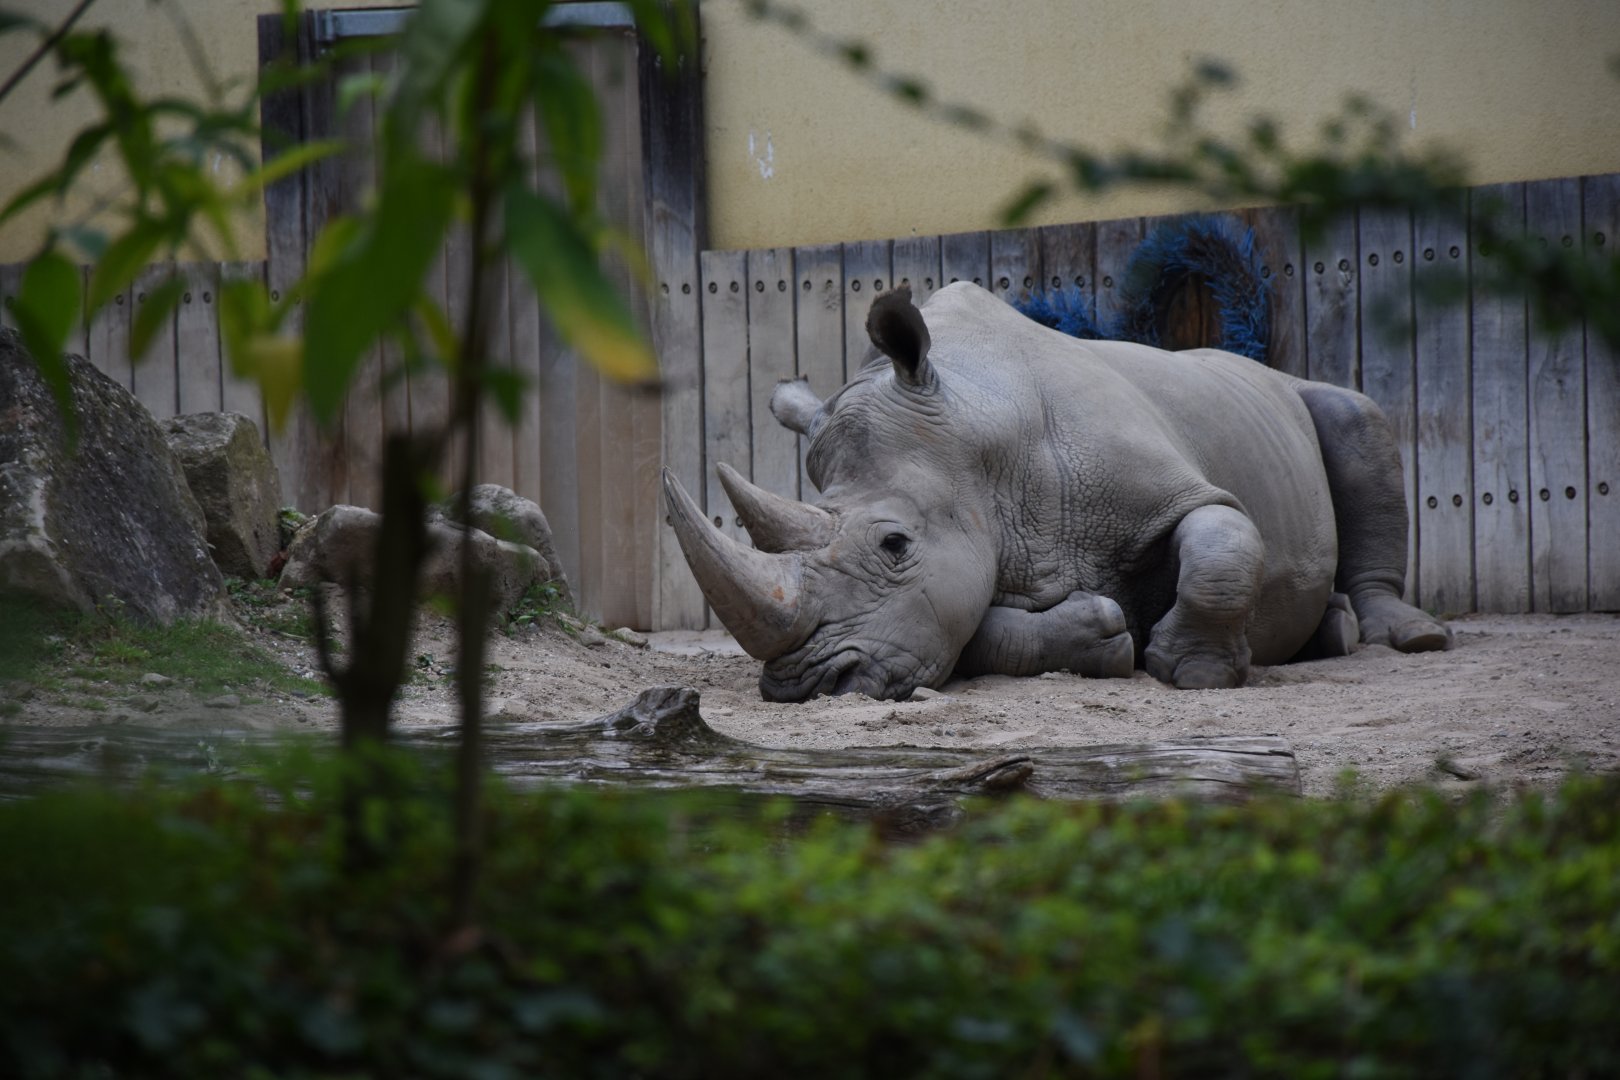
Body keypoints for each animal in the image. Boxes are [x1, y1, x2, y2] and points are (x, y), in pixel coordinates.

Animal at [663, 281, 1451, 702]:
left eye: (893, 543)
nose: (806, 684)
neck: (975, 436)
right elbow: (970, 632)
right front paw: (1105, 634)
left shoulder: (1180, 490)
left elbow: (1223, 539)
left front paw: (1193, 671)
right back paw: (1332, 630)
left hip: (1297, 396)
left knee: (1354, 417)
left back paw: (1407, 638)